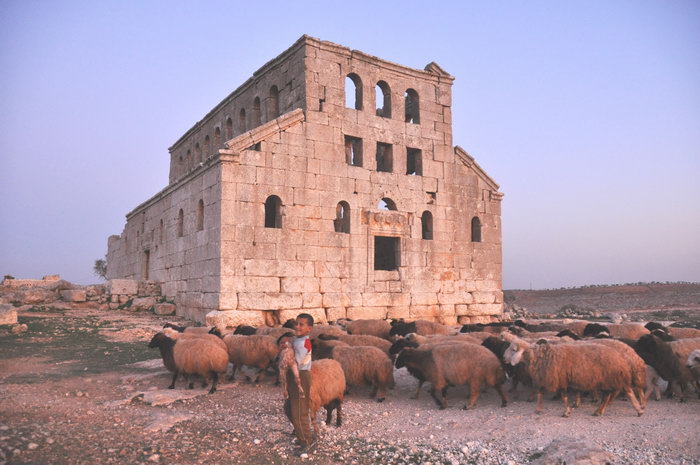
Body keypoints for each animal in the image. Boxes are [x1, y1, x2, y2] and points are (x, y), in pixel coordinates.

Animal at [504, 330, 644, 416]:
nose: (504, 358)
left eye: (513, 349)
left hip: (612, 377)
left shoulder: (560, 378)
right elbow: (562, 393)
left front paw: (566, 411)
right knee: (616, 393)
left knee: (624, 392)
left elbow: (563, 396)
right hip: (611, 378)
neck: (544, 356)